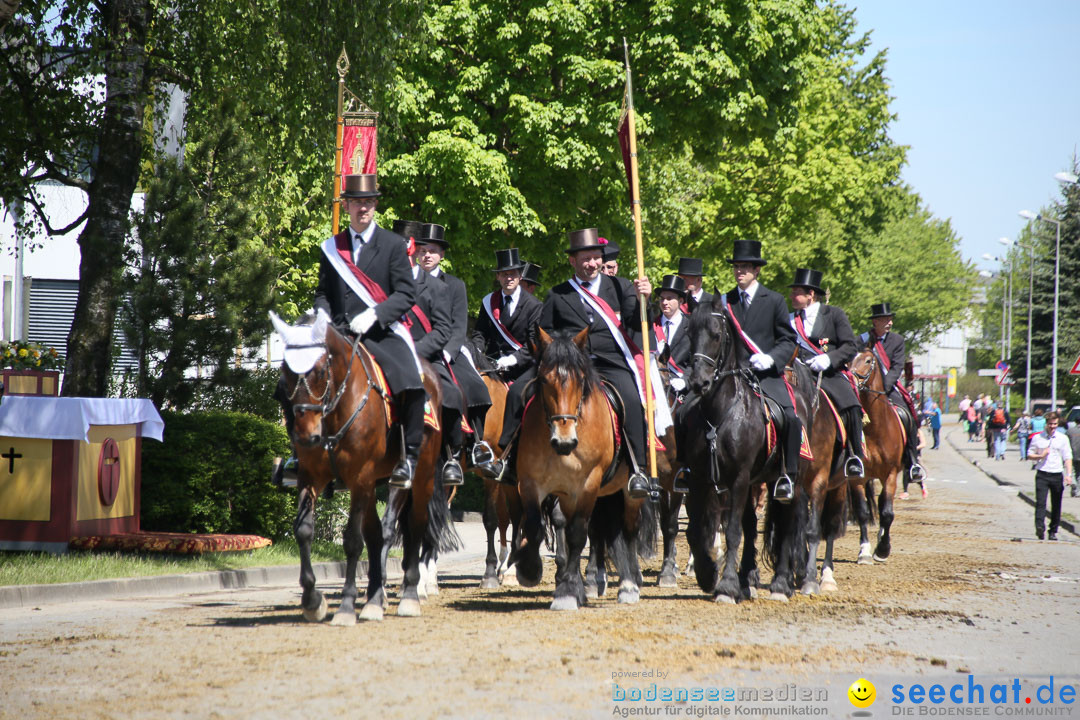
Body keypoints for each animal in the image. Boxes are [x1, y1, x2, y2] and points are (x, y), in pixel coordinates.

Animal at [272, 315, 444, 626]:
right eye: (285, 370)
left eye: (319, 371)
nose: (305, 436)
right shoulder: (311, 477)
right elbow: (303, 531)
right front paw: (312, 601)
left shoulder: (360, 478)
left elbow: (353, 540)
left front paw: (346, 606)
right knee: (378, 534)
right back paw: (375, 598)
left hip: (419, 477)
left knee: (415, 525)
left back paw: (410, 595)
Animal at [511, 330, 652, 613]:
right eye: (545, 380)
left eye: (580, 381)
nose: (564, 441)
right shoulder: (531, 483)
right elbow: (534, 526)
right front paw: (530, 570)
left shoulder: (588, 484)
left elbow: (577, 534)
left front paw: (566, 593)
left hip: (627, 491)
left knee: (629, 529)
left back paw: (629, 585)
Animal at [682, 297, 812, 604]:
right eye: (689, 334)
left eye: (717, 334)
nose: (698, 383)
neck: (720, 413)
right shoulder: (700, 479)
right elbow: (696, 530)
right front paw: (708, 574)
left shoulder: (738, 478)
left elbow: (732, 532)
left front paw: (727, 586)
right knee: (754, 524)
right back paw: (749, 580)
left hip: (792, 480)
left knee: (788, 524)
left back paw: (780, 584)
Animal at [842, 349, 902, 561]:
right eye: (849, 360)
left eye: (868, 361)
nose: (850, 377)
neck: (875, 429)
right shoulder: (858, 476)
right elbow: (863, 512)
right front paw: (865, 551)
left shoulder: (891, 474)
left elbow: (887, 513)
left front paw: (883, 549)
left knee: (884, 504)